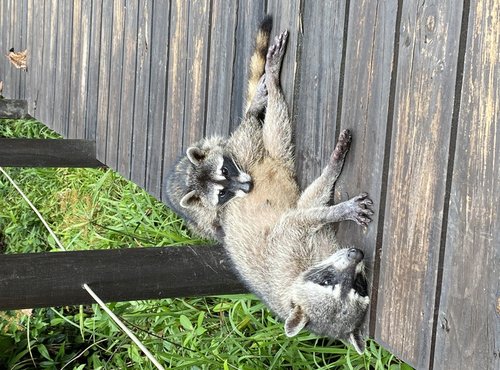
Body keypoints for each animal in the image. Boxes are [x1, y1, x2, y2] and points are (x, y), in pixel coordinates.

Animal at [165, 16, 274, 240]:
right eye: (221, 194)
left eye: (224, 170)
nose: (249, 186)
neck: (189, 178)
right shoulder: (210, 216)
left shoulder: (217, 145)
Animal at [220, 30, 376, 352]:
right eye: (327, 282)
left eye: (358, 286)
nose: (357, 253)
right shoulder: (289, 242)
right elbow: (307, 210)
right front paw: (339, 202)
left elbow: (309, 202)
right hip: (245, 154)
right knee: (275, 127)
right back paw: (267, 90)